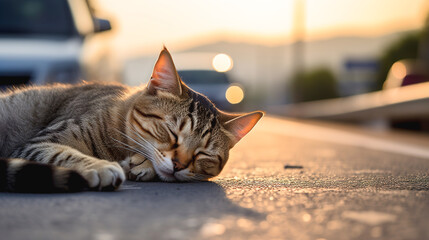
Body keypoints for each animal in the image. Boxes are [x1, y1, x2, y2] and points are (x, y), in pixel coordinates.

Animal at [0, 47, 262, 192]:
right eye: (172, 132)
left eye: (203, 154)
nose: (179, 165)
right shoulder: (39, 142)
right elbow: (63, 153)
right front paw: (100, 166)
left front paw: (142, 166)